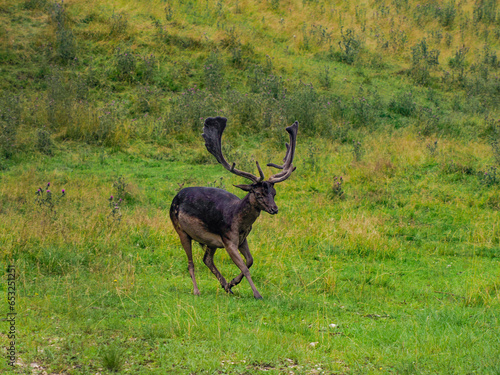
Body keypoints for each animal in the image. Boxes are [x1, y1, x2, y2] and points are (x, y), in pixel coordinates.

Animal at [170, 117, 298, 300]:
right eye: (258, 193)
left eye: (274, 193)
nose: (274, 209)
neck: (240, 222)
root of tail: (176, 196)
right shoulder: (228, 239)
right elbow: (244, 266)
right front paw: (257, 293)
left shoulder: (242, 239)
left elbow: (250, 261)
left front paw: (232, 283)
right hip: (181, 230)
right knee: (190, 262)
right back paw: (197, 290)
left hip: (211, 241)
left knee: (207, 259)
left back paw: (225, 286)